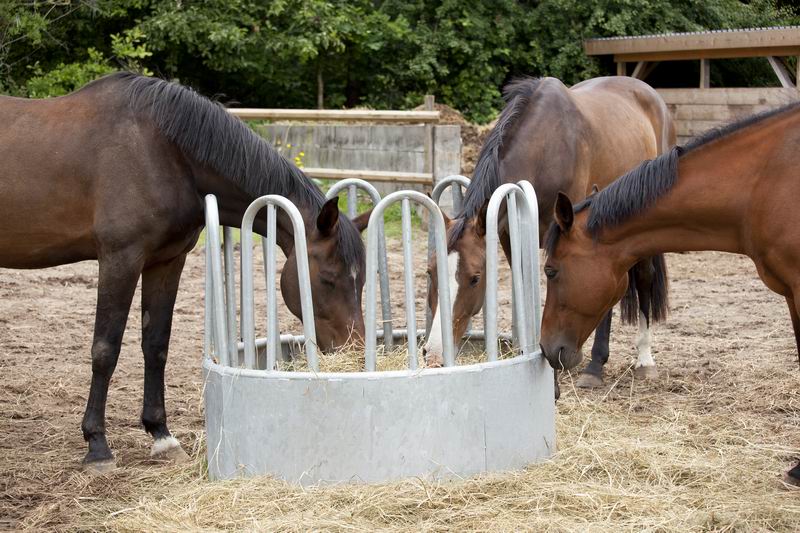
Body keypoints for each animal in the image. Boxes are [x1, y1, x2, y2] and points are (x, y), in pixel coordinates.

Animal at [0, 71, 368, 470]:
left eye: (362, 281)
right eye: (328, 280)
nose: (356, 349)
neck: (162, 153)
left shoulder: (166, 262)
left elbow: (156, 345)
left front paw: (161, 435)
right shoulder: (119, 259)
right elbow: (105, 349)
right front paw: (97, 445)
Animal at [424, 76, 676, 386]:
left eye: (475, 278)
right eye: (430, 272)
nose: (434, 352)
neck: (545, 146)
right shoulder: (509, 237)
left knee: (643, 279)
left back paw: (632, 361)